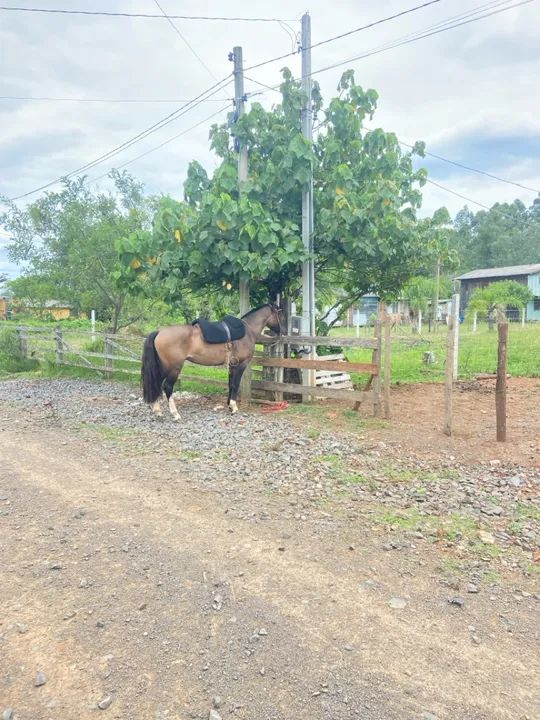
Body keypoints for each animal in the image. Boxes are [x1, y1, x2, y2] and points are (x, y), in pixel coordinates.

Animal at [141, 303, 282, 419]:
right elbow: (236, 384)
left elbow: (231, 384)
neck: (248, 331)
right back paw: (175, 414)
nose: (281, 330)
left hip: (163, 367)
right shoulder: (241, 365)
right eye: (278, 314)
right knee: (167, 387)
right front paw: (234, 407)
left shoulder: (232, 365)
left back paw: (157, 410)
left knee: (157, 384)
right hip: (174, 368)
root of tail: (159, 332)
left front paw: (229, 405)